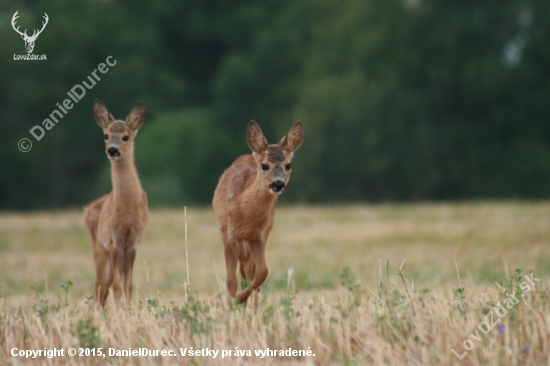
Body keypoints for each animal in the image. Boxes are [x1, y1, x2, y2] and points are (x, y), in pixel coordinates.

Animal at [84, 98, 149, 308]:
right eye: (106, 135)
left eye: (125, 137)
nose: (112, 150)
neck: (128, 211)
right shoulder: (114, 241)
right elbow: (118, 287)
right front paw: (121, 311)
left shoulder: (133, 242)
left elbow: (128, 285)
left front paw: (128, 311)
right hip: (99, 247)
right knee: (99, 288)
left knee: (102, 288)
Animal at [212, 120, 306, 308]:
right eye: (264, 165)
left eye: (288, 165)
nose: (278, 183)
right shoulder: (228, 233)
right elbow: (231, 280)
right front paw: (231, 305)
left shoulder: (258, 234)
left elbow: (262, 272)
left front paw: (239, 300)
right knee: (241, 273)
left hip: (262, 233)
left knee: (248, 272)